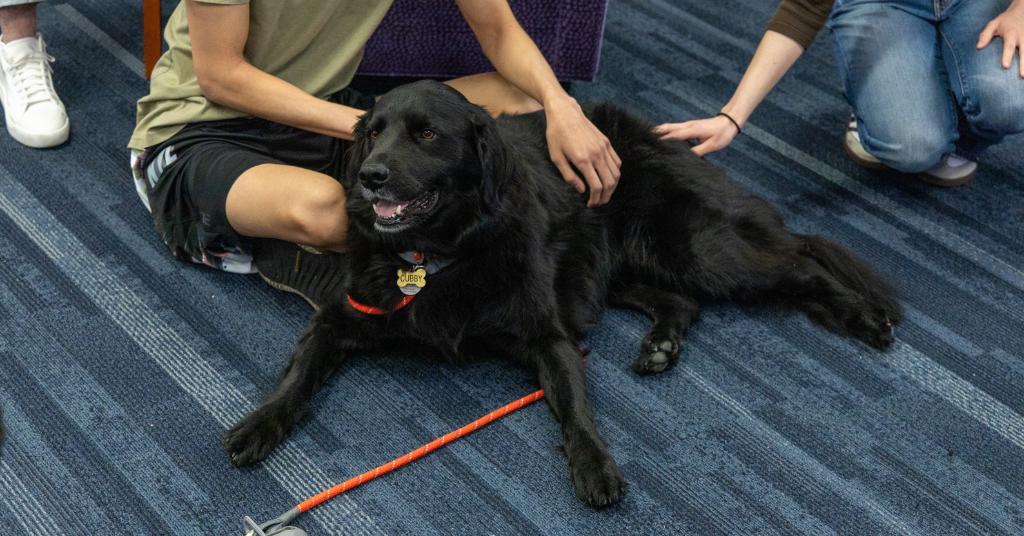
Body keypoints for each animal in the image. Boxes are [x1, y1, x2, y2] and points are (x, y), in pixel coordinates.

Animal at [226, 80, 905, 508]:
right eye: (373, 133)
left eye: (427, 135)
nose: (369, 178)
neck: (435, 255)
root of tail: (657, 135)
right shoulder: (341, 318)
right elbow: (297, 375)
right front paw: (259, 423)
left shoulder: (550, 337)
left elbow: (576, 409)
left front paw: (595, 465)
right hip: (617, 263)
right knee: (681, 301)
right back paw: (660, 346)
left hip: (695, 247)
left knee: (799, 262)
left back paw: (865, 315)